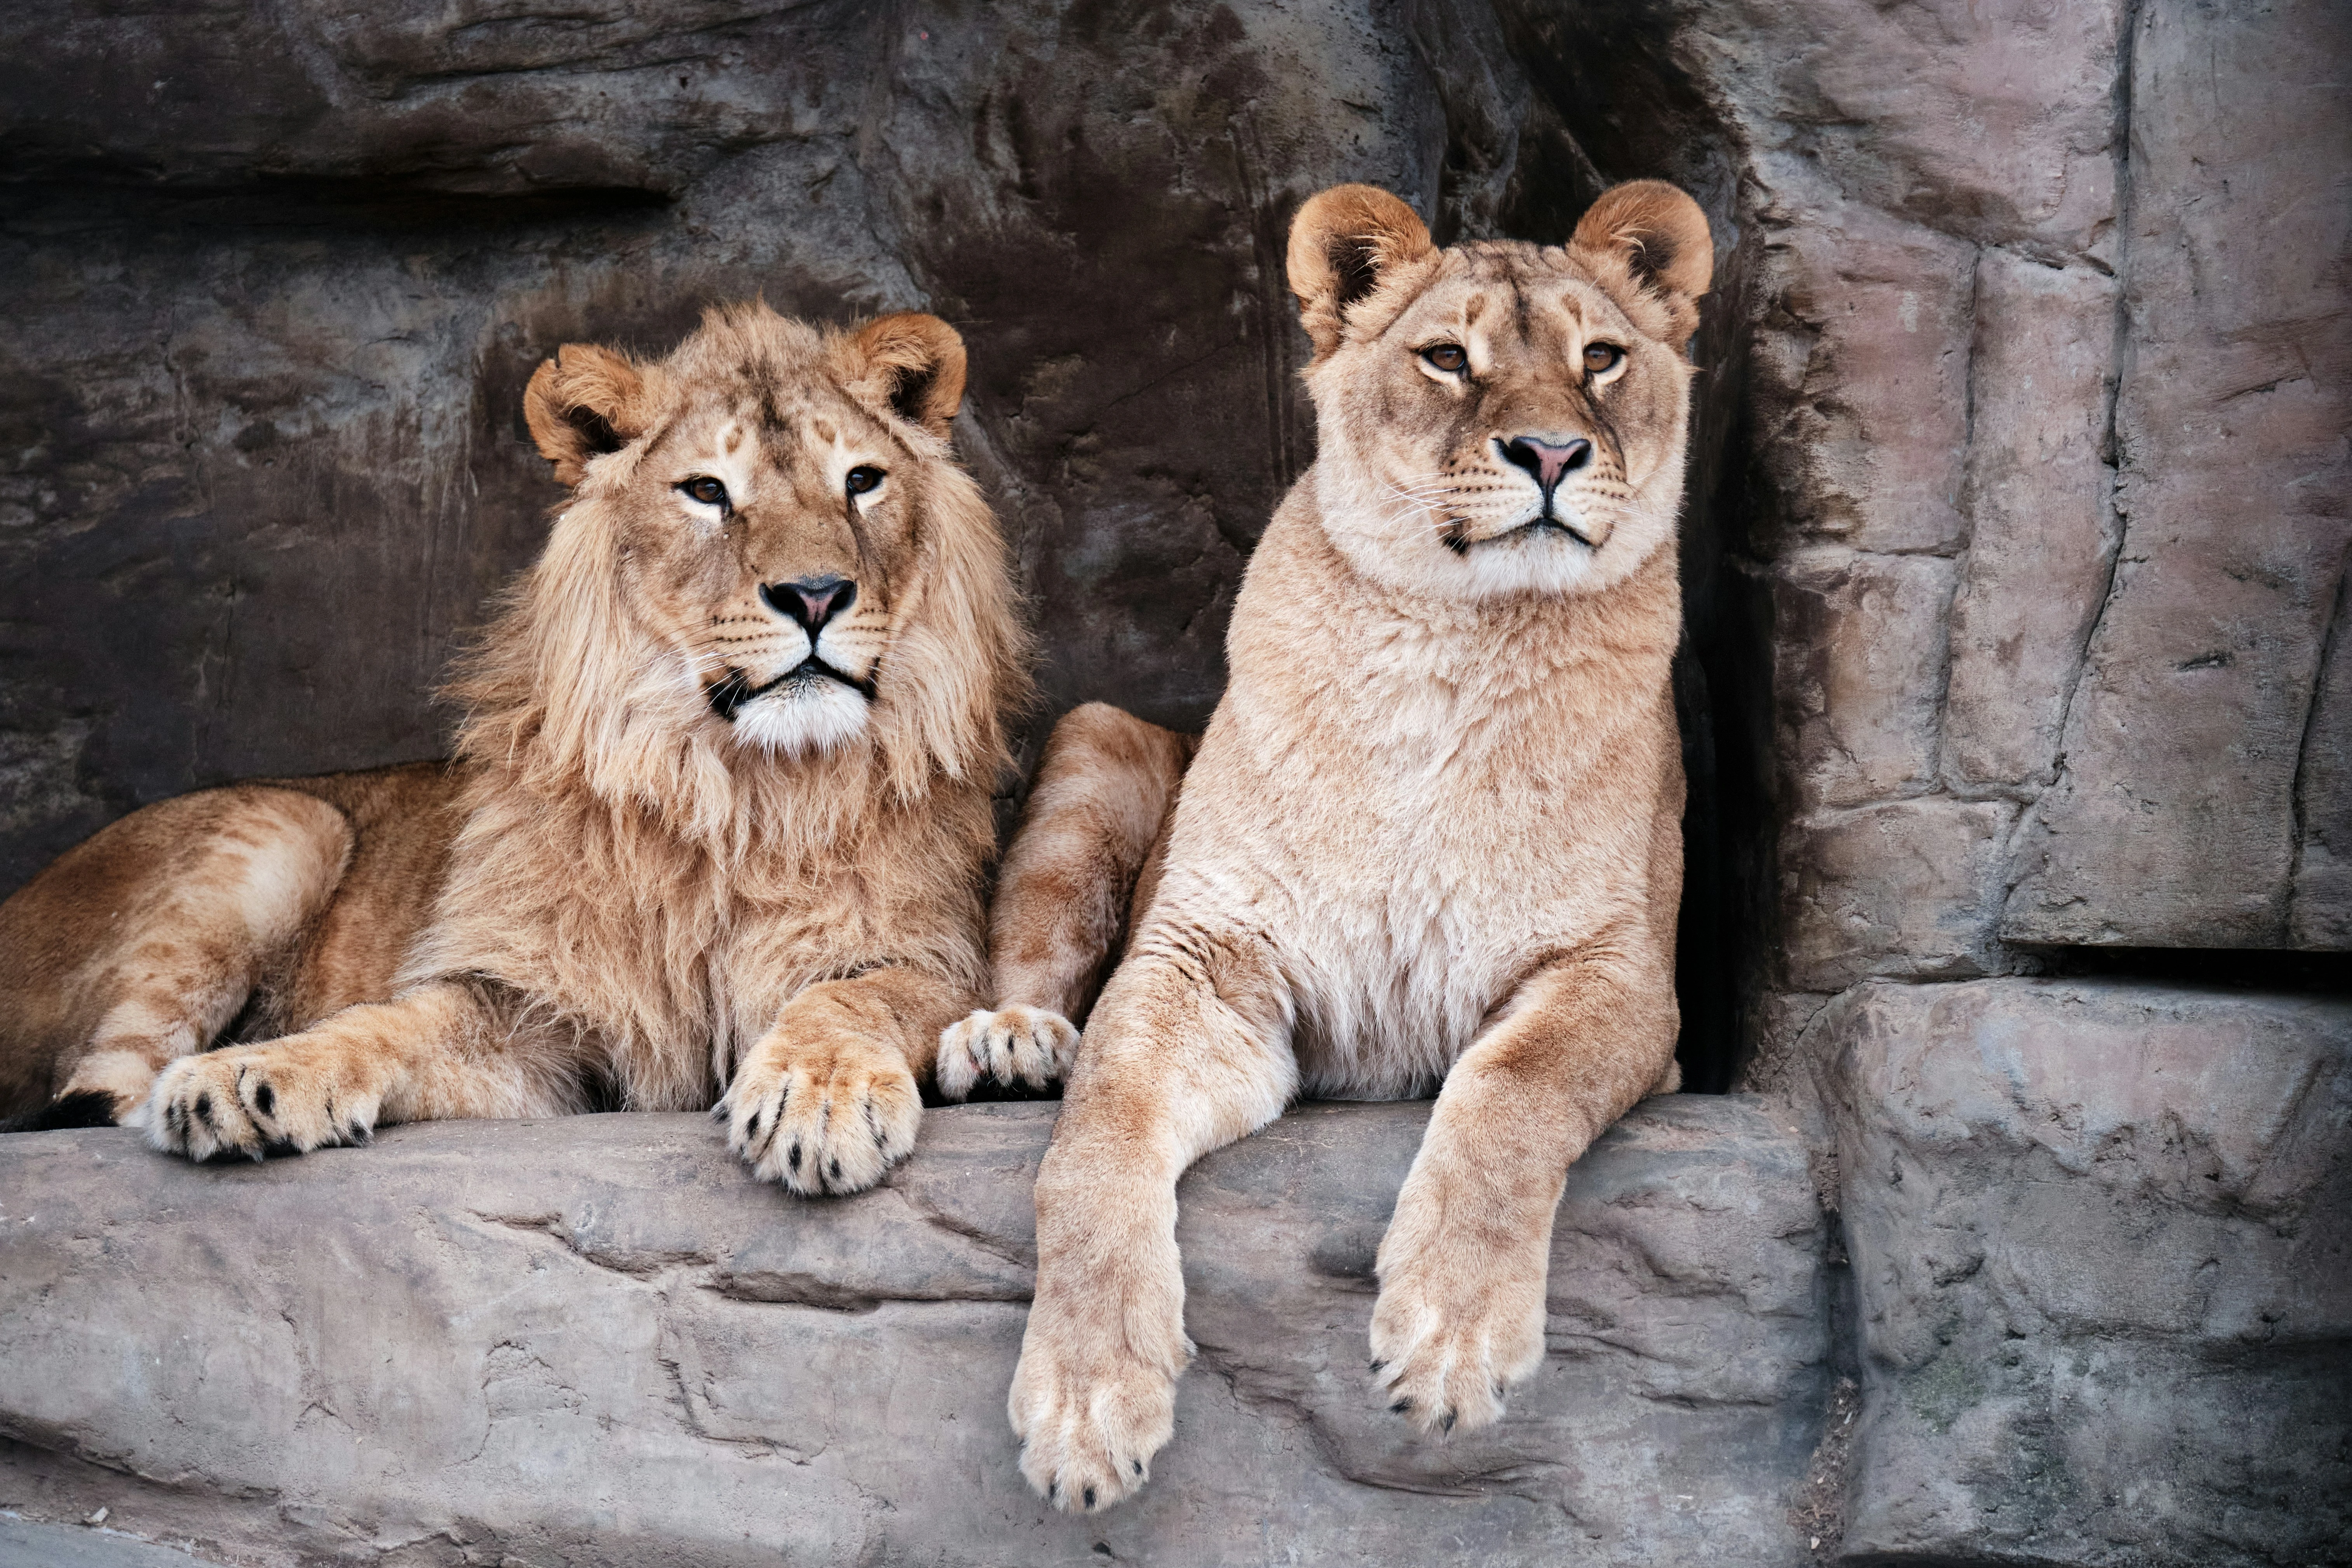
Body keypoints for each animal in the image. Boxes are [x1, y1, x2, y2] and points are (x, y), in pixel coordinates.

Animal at [0, 300, 1048, 1194]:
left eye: (862, 481)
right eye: (707, 492)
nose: (817, 594)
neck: (737, 788)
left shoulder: (937, 959)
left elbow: (850, 998)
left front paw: (816, 1099)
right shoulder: (541, 1013)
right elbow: (388, 1023)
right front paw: (245, 1075)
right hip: (288, 820)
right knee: (95, 1086)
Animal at [946, 179, 1712, 1509]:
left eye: (1600, 360)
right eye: (1447, 358)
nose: (1551, 453)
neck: (1452, 645)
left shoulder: (1622, 978)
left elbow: (1510, 1093)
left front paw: (1448, 1341)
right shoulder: (1205, 963)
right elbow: (1094, 1137)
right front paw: (1086, 1401)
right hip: (1097, 745)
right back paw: (1011, 1040)